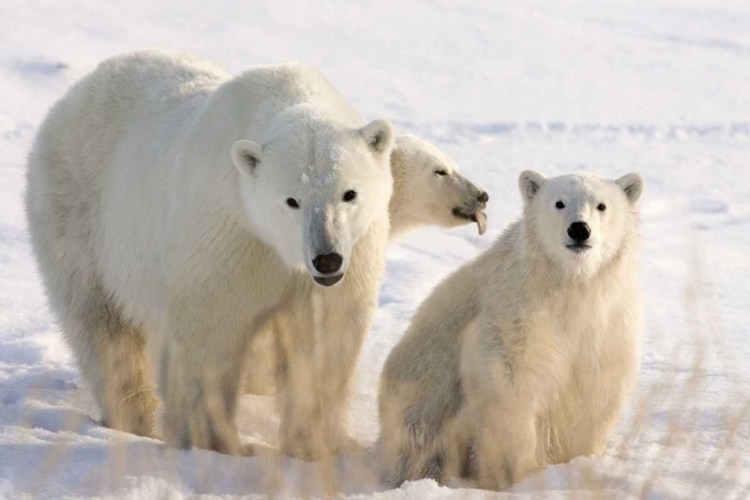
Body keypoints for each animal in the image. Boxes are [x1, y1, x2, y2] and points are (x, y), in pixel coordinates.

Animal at [25, 50, 396, 458]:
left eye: (349, 193)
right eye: (291, 200)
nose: (326, 258)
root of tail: (77, 91)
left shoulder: (353, 251)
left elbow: (323, 336)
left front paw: (315, 444)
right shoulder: (229, 234)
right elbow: (212, 334)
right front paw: (219, 443)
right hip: (77, 213)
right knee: (100, 326)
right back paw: (132, 418)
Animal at [382, 171, 648, 488]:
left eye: (602, 205)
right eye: (559, 203)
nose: (579, 229)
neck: (570, 282)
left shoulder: (607, 319)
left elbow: (598, 384)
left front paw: (579, 463)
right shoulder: (519, 309)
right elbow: (511, 381)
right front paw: (521, 473)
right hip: (420, 398)